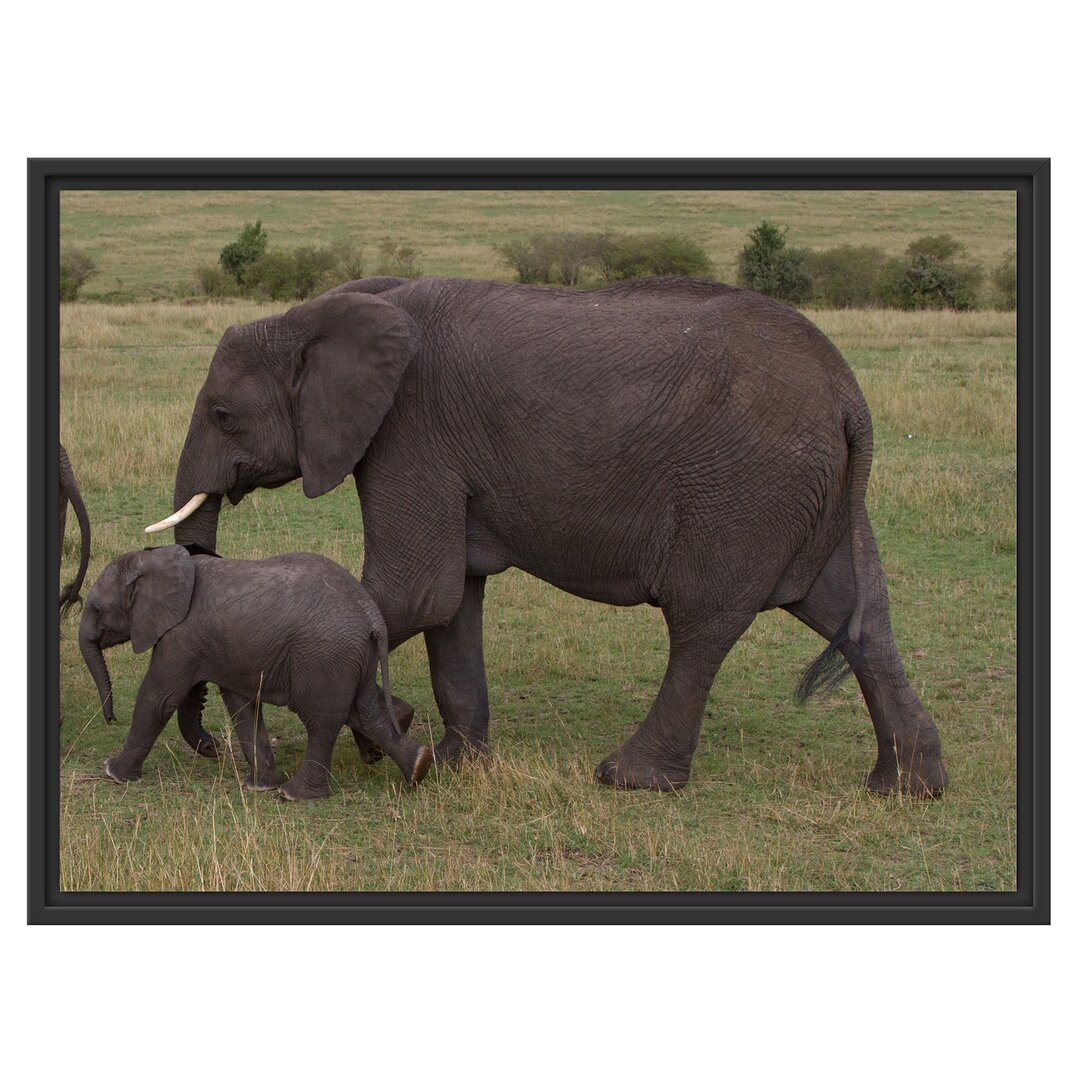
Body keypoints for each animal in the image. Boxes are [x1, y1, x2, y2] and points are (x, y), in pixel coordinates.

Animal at [78, 544, 432, 799]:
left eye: (96, 609)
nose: (110, 718)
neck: (154, 559)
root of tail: (371, 614)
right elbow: (243, 707)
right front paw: (260, 786)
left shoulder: (181, 637)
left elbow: (158, 696)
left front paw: (113, 773)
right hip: (353, 656)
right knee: (364, 711)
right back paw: (419, 767)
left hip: (324, 656)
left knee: (322, 720)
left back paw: (296, 795)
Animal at [150, 276, 946, 794]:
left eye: (223, 414)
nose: (214, 753)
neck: (318, 312)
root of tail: (848, 394)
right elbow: (451, 602)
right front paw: (457, 762)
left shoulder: (411, 431)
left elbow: (413, 592)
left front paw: (391, 732)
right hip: (809, 496)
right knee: (858, 618)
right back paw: (906, 787)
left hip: (743, 490)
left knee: (702, 624)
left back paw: (629, 778)